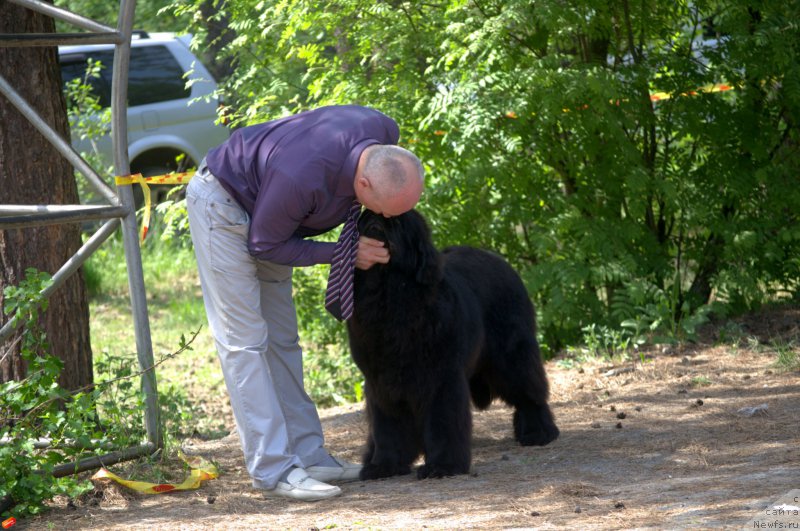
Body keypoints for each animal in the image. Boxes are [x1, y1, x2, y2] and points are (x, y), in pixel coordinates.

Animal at [346, 209, 560, 482]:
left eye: (396, 221)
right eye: (365, 217)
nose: (376, 221)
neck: (390, 296)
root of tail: (497, 259)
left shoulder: (441, 379)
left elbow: (443, 422)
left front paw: (442, 465)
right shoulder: (381, 384)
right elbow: (387, 428)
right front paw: (385, 465)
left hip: (511, 356)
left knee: (529, 393)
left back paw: (538, 432)